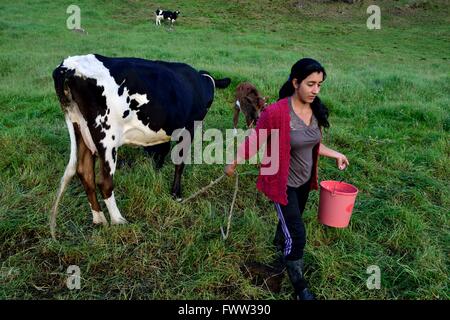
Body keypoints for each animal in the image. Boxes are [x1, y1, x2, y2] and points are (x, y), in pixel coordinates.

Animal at [51, 53, 230, 238]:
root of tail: (68, 66)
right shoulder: (188, 129)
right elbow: (179, 164)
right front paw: (176, 194)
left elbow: (161, 152)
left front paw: (156, 174)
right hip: (107, 137)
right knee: (104, 182)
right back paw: (118, 221)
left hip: (81, 131)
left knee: (85, 174)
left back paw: (99, 219)